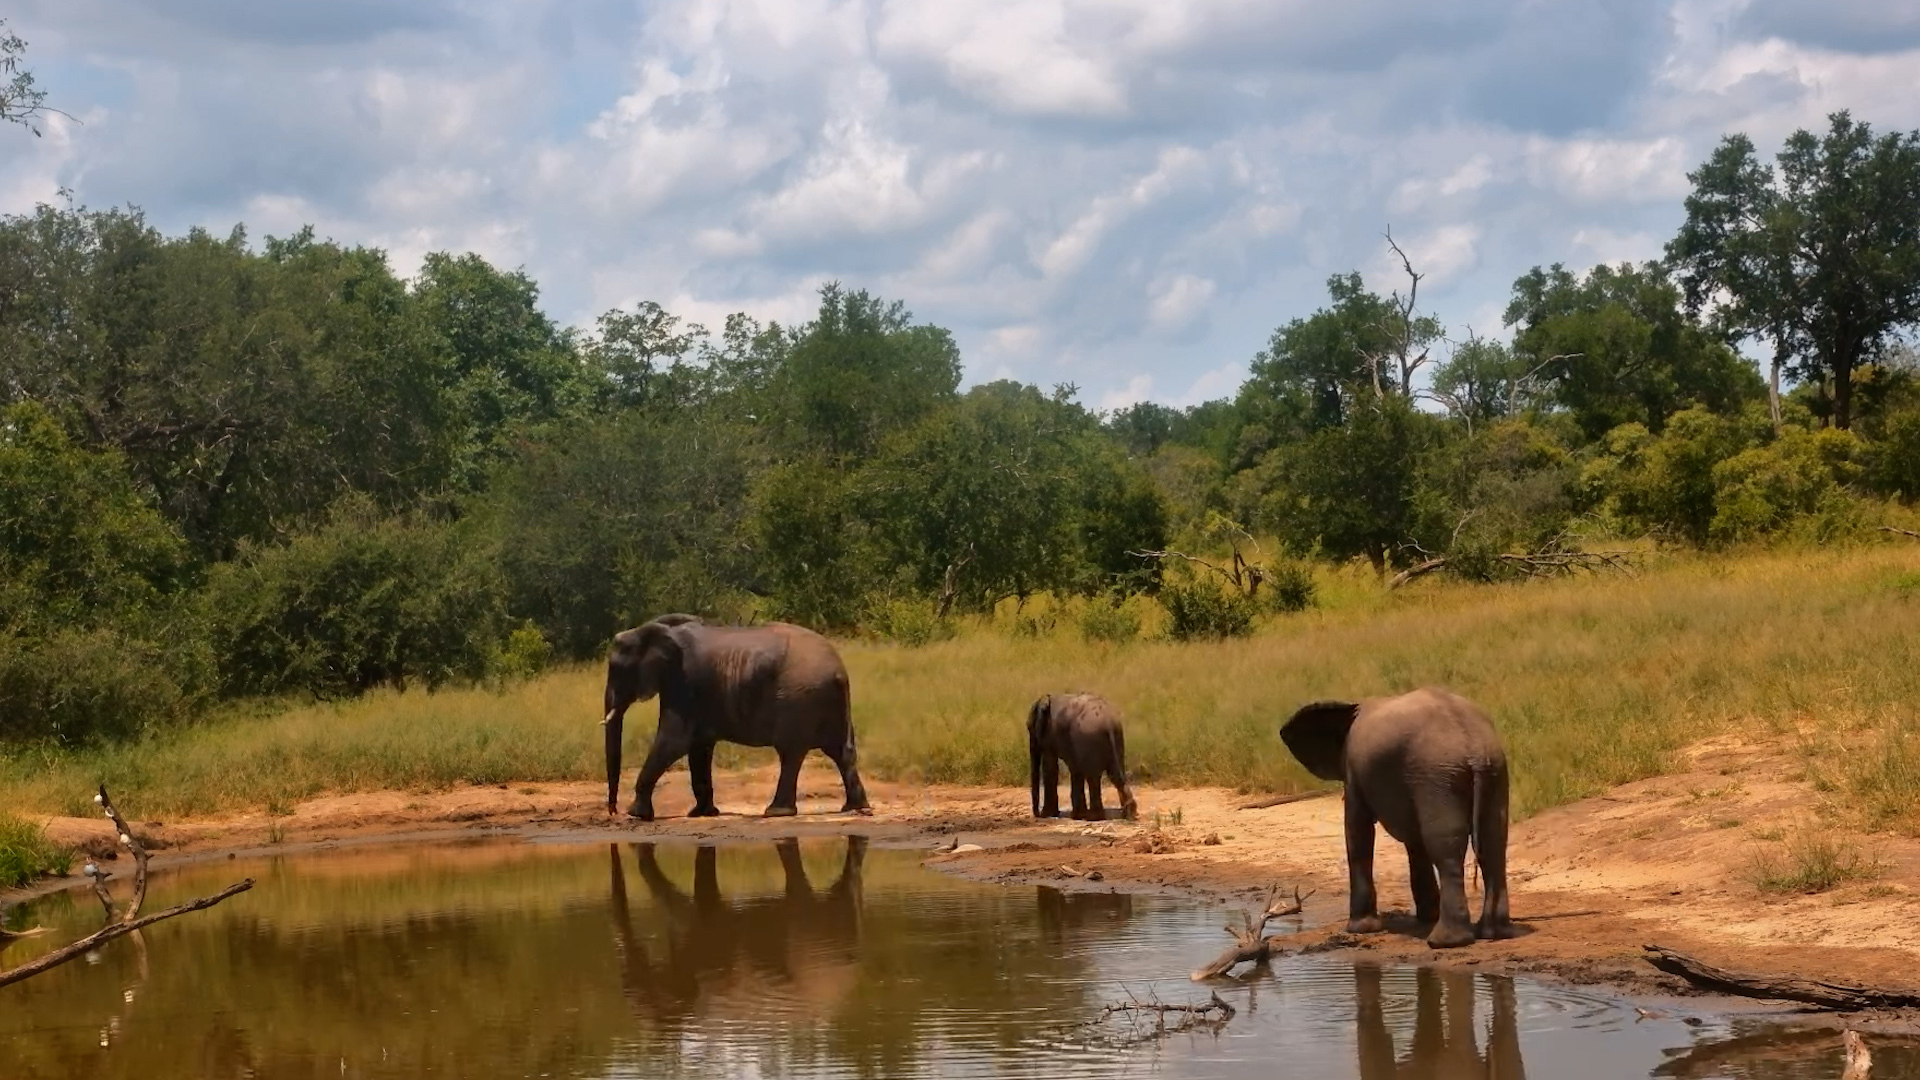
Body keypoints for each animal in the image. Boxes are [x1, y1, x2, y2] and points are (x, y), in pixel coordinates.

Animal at [602, 614, 870, 820]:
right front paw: (702, 814)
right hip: (828, 701)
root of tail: (838, 670)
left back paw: (776, 812)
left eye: (616, 669)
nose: (613, 811)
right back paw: (854, 808)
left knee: (790, 752)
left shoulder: (686, 684)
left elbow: (674, 742)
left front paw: (637, 814)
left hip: (798, 699)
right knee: (841, 751)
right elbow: (698, 748)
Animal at [1279, 686, 1511, 949]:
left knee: (1446, 847)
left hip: (1438, 777)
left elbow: (1358, 831)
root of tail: (1473, 747)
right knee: (1493, 842)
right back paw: (1494, 932)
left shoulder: (1356, 773)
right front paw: (1426, 916)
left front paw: (1359, 929)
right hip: (1491, 771)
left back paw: (1446, 941)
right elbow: (1414, 840)